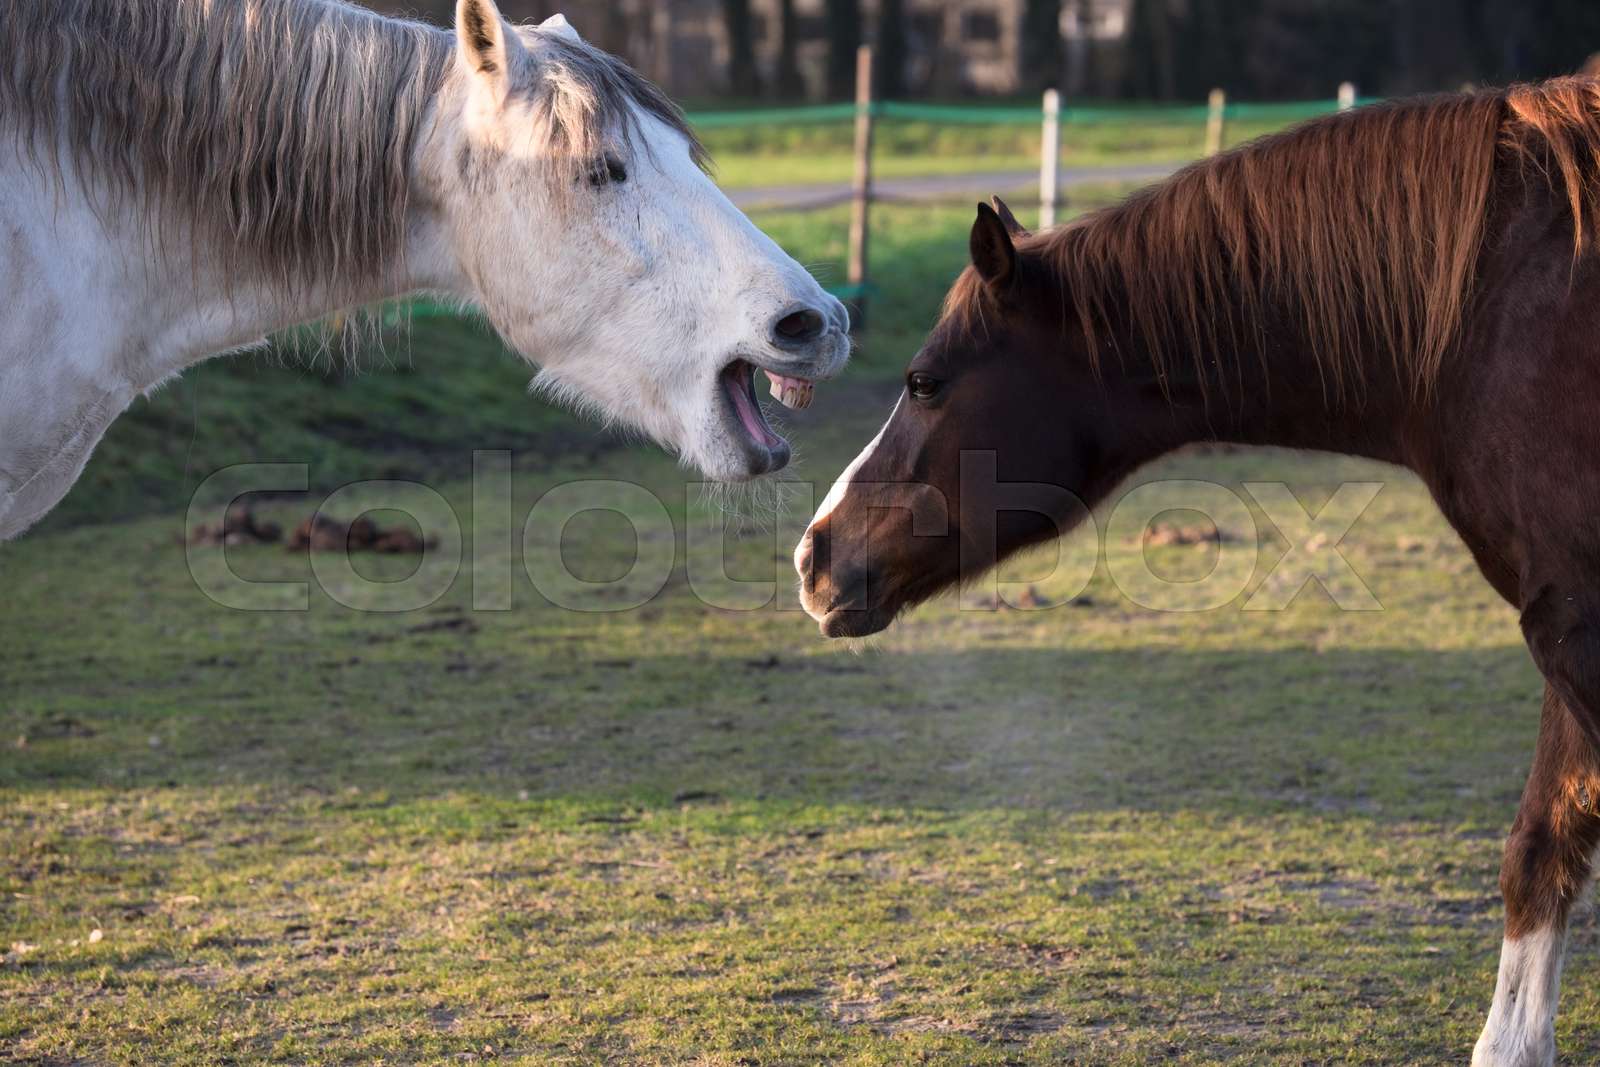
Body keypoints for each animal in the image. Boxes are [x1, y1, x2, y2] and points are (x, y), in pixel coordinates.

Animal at [795, 80, 1600, 1066]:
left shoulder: (1578, 622)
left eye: (922, 381)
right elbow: (1542, 846)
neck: (1498, 313)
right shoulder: (1562, 617)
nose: (814, 555)